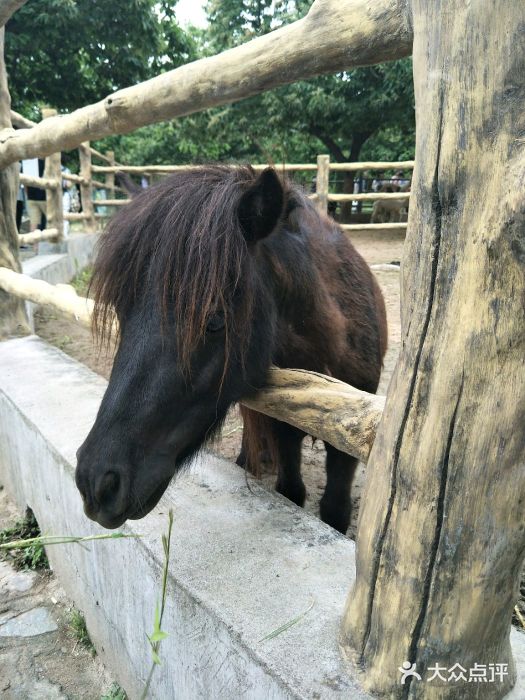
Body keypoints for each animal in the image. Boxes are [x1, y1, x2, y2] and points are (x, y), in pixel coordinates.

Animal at [75, 167, 386, 532]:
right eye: (120, 310)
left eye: (214, 320)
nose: (97, 483)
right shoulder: (284, 427)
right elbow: (290, 490)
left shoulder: (347, 445)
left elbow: (334, 508)